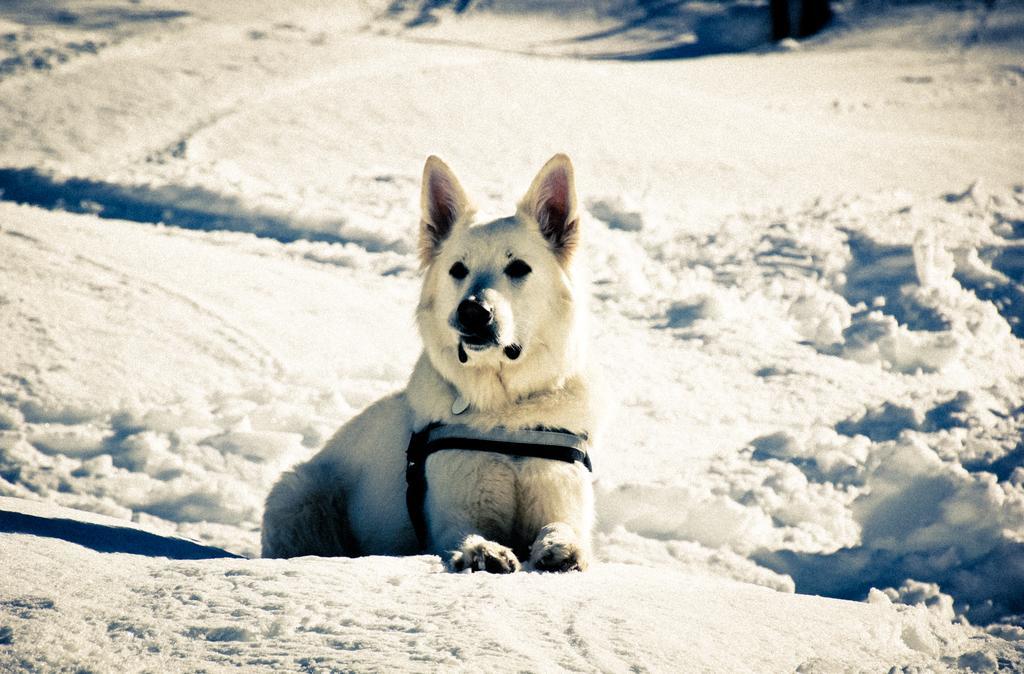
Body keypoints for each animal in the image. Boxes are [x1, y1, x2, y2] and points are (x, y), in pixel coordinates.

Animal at [260, 153, 602, 573]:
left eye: (519, 268)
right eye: (458, 269)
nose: (473, 312)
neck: (505, 413)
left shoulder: (561, 500)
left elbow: (562, 527)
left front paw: (562, 548)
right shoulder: (450, 515)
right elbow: (462, 533)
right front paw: (482, 551)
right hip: (296, 495)